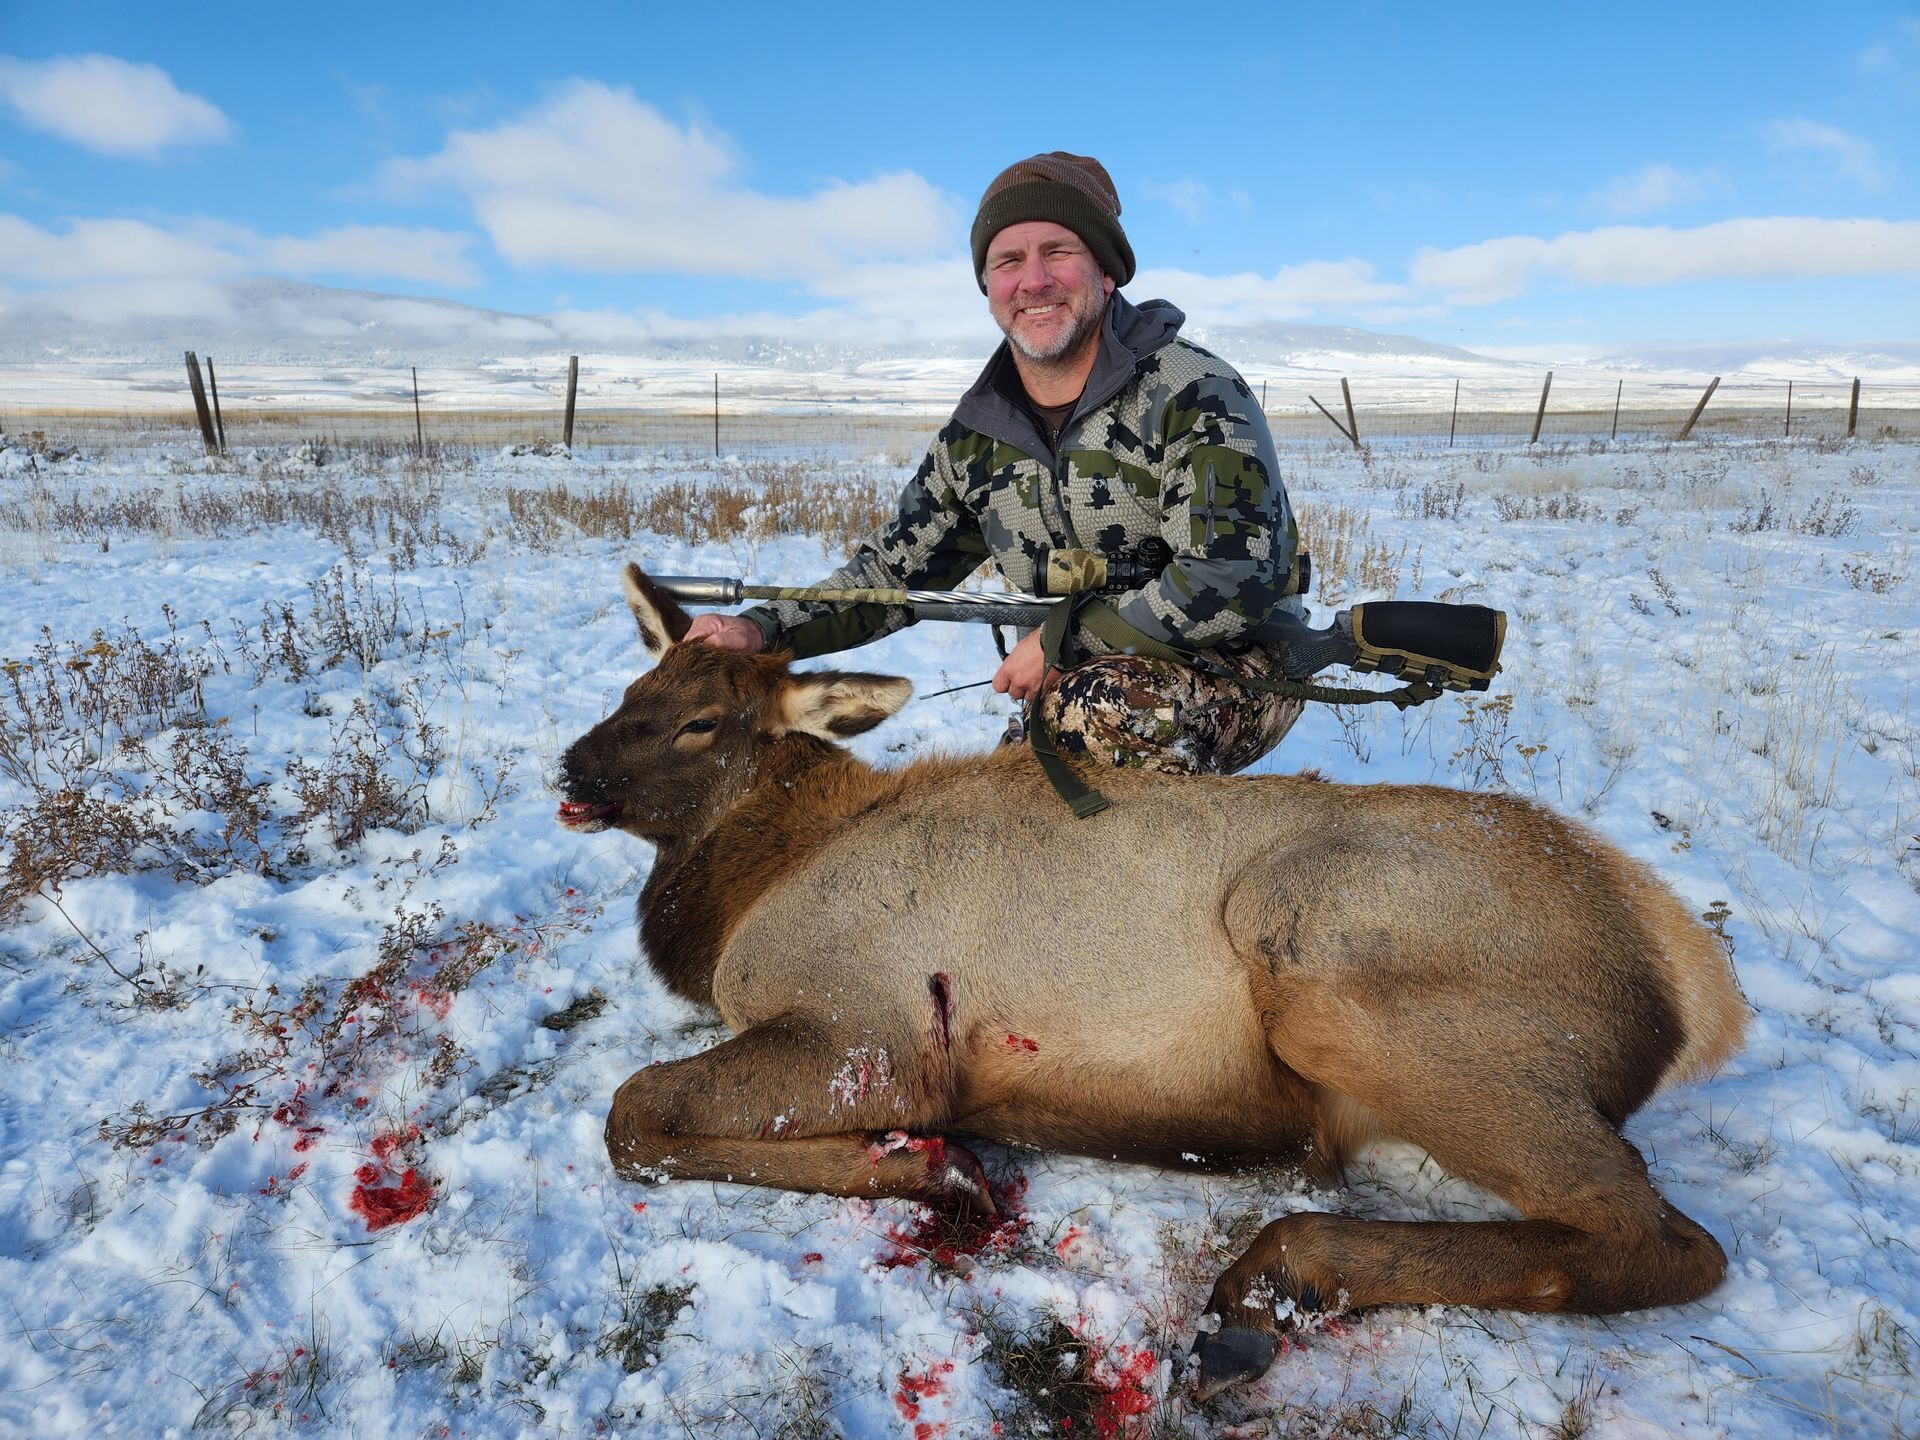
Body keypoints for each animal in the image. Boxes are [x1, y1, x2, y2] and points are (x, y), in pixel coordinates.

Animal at [555, 563, 1749, 1400]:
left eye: (703, 722)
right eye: (633, 686)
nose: (571, 769)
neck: (753, 884)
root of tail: (1696, 994)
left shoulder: (876, 1032)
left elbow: (634, 1115)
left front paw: (935, 1171)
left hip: (1330, 965)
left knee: (1661, 1238)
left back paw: (1275, 1275)